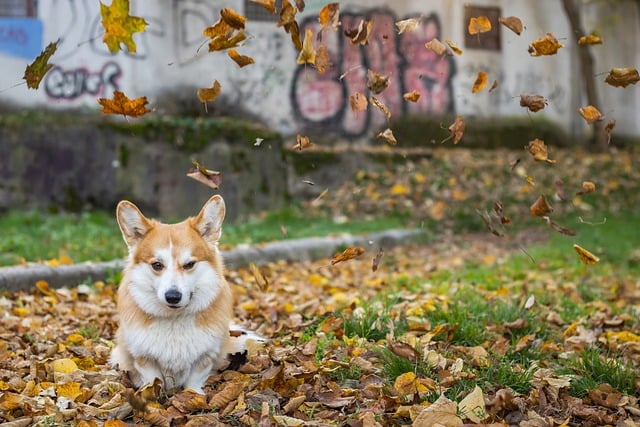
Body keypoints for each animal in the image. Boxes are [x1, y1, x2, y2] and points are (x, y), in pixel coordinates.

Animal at [110, 195, 258, 394]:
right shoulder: (143, 358)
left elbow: (194, 382)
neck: (175, 320)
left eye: (189, 264)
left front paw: (194, 395)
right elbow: (153, 380)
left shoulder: (205, 357)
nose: (173, 296)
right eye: (157, 265)